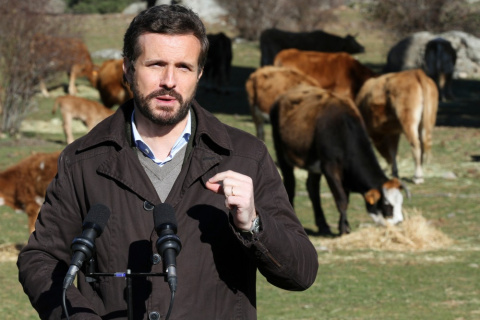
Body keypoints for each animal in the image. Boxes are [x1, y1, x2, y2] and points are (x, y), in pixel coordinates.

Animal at [270, 85, 404, 235]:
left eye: (400, 202)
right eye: (387, 206)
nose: (399, 222)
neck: (343, 129)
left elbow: (344, 198)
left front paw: (343, 226)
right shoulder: (330, 168)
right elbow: (342, 200)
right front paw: (344, 229)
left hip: (313, 164)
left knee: (313, 189)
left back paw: (323, 225)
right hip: (282, 154)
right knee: (290, 185)